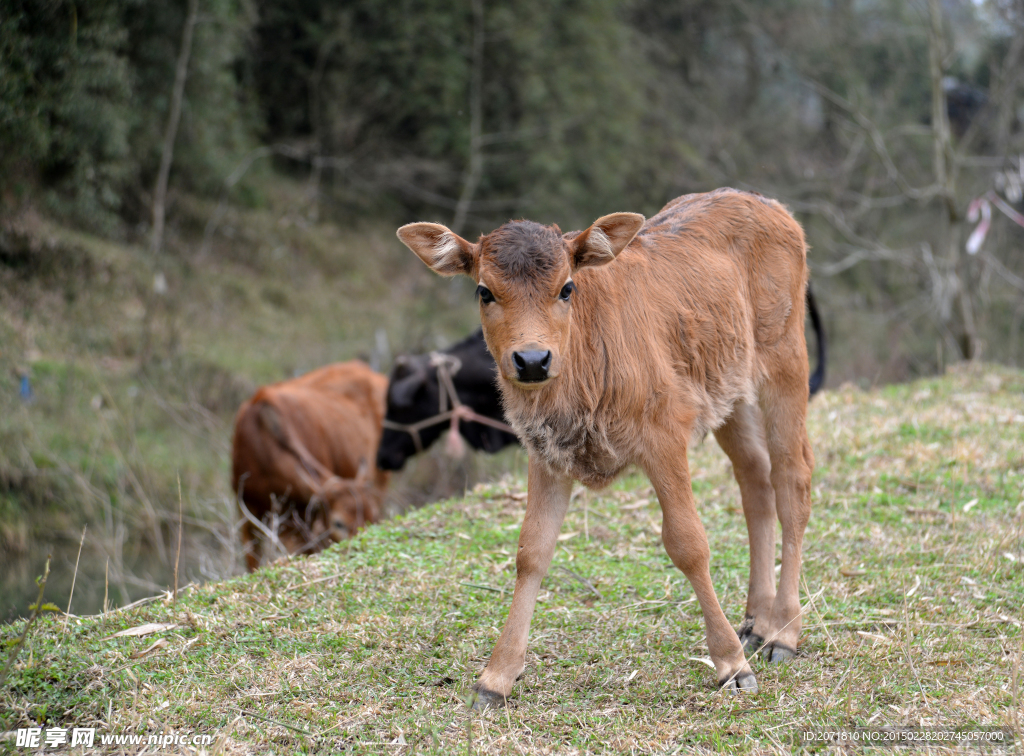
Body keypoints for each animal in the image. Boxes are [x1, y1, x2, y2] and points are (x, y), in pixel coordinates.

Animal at [397, 187, 815, 700]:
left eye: (566, 288)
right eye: (484, 291)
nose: (532, 360)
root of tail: (771, 205)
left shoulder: (664, 435)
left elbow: (689, 543)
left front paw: (731, 666)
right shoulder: (545, 454)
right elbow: (532, 551)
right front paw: (496, 677)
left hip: (785, 362)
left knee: (792, 479)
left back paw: (783, 632)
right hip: (729, 393)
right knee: (755, 479)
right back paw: (756, 621)